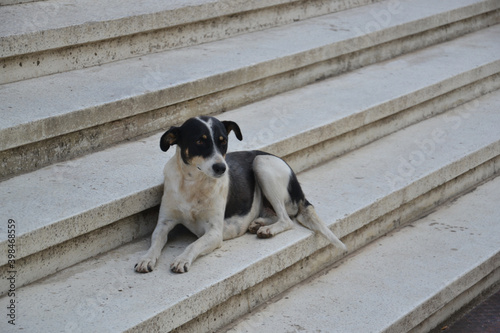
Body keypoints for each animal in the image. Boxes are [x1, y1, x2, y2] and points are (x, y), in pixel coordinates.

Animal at [135, 115, 346, 272]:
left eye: (224, 142)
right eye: (199, 141)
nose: (221, 168)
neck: (193, 183)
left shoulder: (214, 232)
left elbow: (194, 244)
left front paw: (182, 259)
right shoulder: (164, 223)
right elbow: (155, 242)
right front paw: (146, 258)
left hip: (261, 164)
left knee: (287, 219)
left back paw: (268, 229)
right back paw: (259, 223)